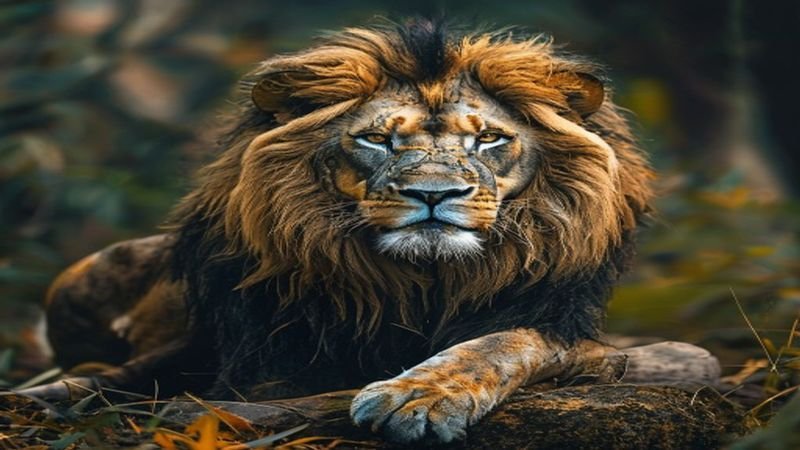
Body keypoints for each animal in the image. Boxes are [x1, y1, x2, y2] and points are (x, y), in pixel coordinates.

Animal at [41, 19, 653, 444]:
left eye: (488, 139)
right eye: (378, 140)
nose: (434, 194)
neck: (421, 283)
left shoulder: (585, 341)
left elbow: (503, 344)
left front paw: (417, 397)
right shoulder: (260, 366)